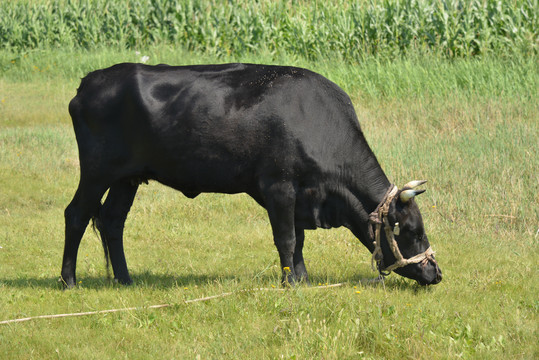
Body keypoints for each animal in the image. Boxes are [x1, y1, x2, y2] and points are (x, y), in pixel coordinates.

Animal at [61, 63, 442, 288]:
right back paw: (69, 280)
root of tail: (89, 81)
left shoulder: (300, 195)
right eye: (410, 231)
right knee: (76, 214)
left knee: (113, 221)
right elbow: (286, 238)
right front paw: (289, 283)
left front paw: (302, 278)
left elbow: (298, 239)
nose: (436, 273)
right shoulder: (278, 186)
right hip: (96, 172)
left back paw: (125, 279)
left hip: (126, 178)